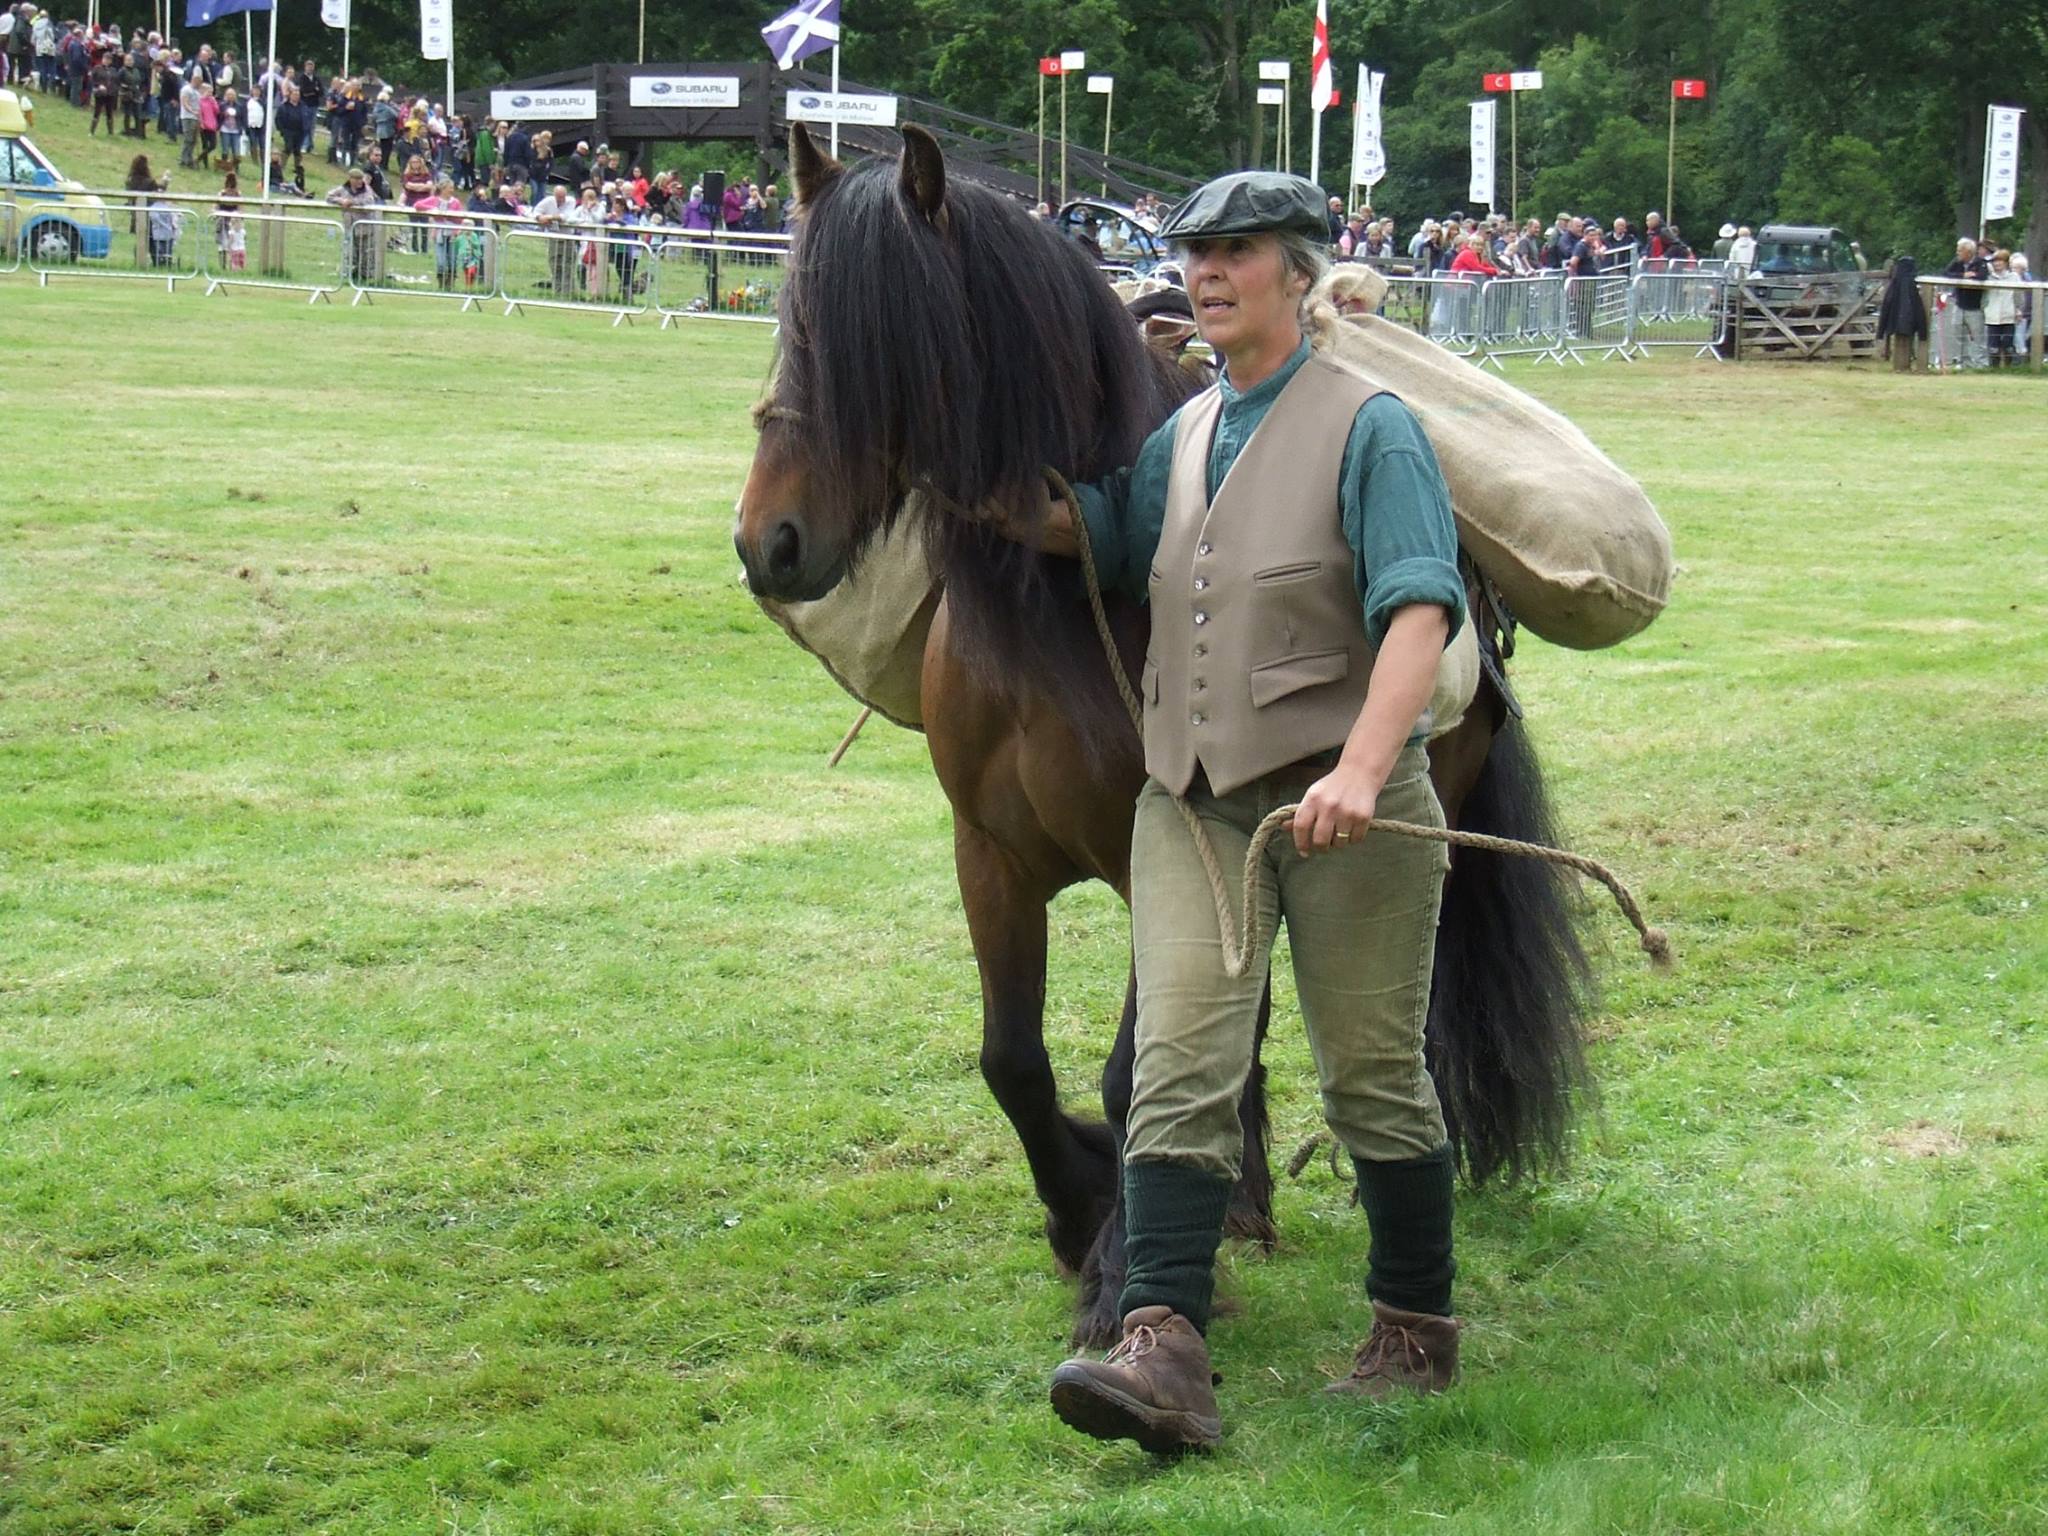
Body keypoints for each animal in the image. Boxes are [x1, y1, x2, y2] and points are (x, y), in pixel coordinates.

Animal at [737, 123, 1581, 1343]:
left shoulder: (1165, 858)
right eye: (791, 327)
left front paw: (1116, 1263)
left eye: (890, 343)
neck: (1064, 609)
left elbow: (1136, 1070)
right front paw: (1078, 1203)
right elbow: (1014, 1063)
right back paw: (1243, 1197)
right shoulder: (990, 857)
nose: (771, 543)